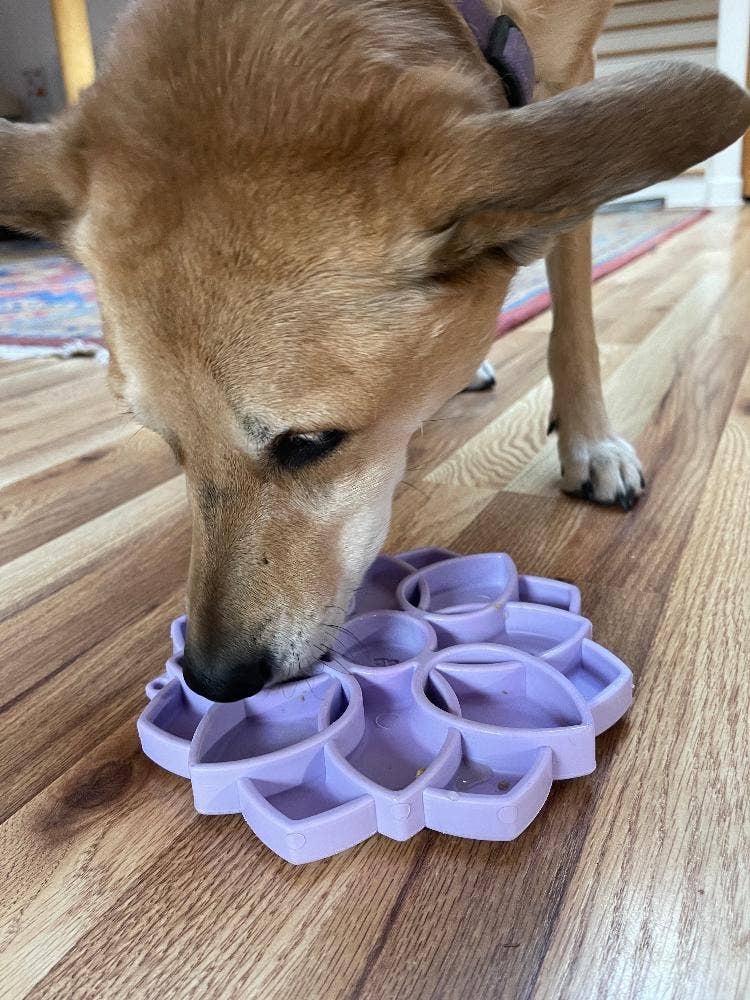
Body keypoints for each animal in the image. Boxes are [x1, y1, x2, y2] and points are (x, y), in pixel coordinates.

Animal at [1, 0, 750, 700]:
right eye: (168, 443)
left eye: (310, 442)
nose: (213, 680)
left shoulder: (574, 79)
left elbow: (574, 303)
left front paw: (590, 440)